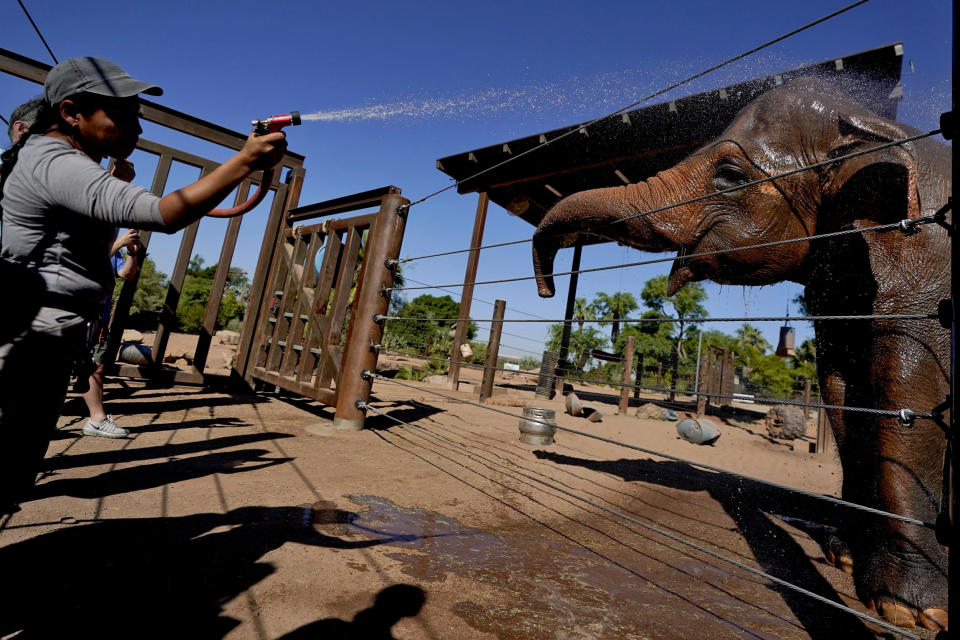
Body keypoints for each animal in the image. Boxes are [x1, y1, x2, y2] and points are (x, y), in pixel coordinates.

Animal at [532, 79, 952, 632]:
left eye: (730, 175)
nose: (546, 290)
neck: (868, 121)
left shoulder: (924, 268)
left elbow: (908, 392)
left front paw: (911, 611)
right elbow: (843, 394)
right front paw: (844, 557)